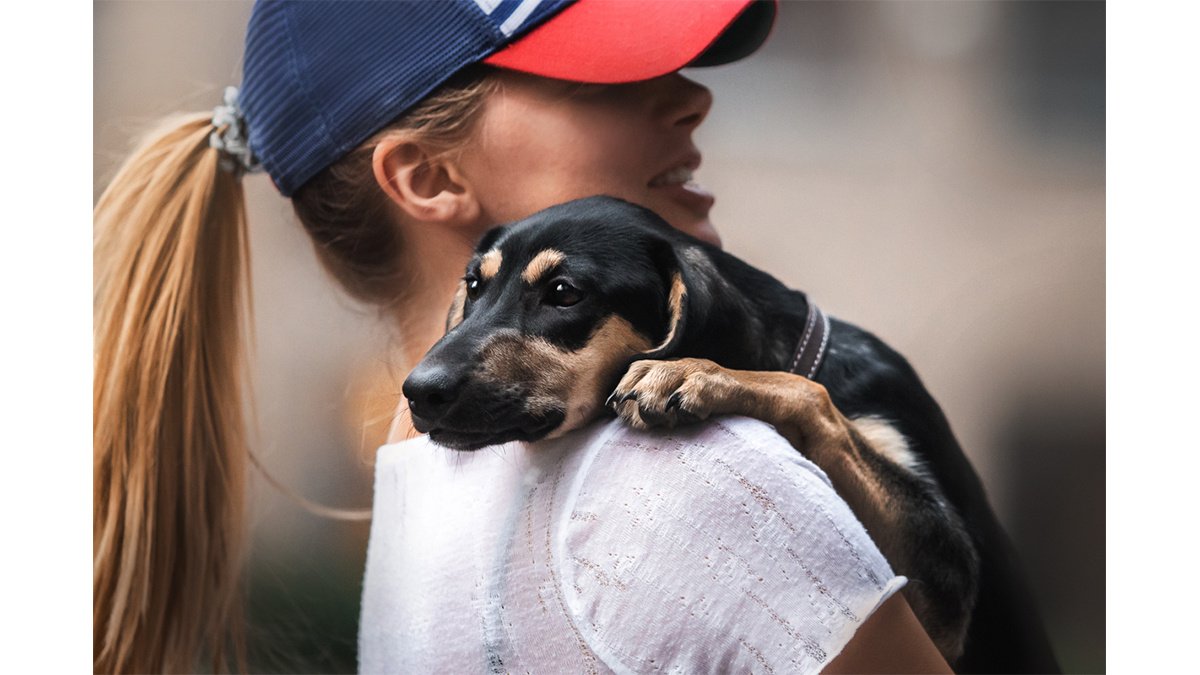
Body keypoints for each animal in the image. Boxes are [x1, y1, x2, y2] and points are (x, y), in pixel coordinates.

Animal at [403, 194, 1060, 667]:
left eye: (563, 293)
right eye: (475, 285)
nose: (419, 391)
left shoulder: (949, 586)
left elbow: (809, 391)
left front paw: (689, 370)